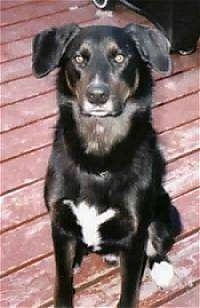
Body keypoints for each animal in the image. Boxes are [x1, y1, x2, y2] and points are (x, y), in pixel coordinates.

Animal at [32, 24, 176, 308]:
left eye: (119, 58)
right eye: (79, 58)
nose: (97, 95)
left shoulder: (134, 236)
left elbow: (129, 291)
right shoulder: (59, 223)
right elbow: (62, 281)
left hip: (165, 211)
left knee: (157, 244)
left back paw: (162, 267)